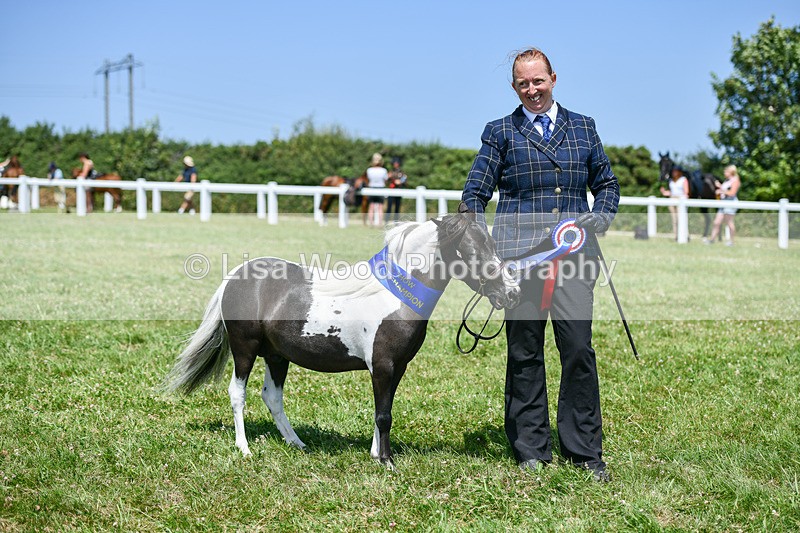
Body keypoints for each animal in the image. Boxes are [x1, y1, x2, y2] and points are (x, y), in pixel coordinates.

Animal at [165, 207, 520, 469]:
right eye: (472, 251)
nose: (511, 293)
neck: (394, 296)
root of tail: (236, 276)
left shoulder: (397, 368)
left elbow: (383, 409)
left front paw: (377, 454)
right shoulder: (382, 365)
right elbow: (384, 414)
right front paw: (387, 462)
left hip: (277, 355)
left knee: (272, 397)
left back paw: (297, 442)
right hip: (245, 350)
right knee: (237, 393)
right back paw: (244, 448)